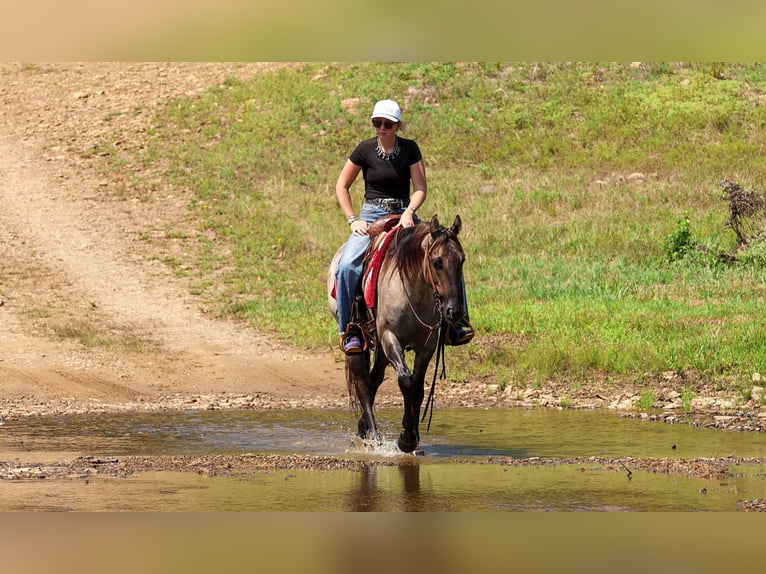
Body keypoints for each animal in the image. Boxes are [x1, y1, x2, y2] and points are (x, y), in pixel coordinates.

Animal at [327, 214, 467, 453]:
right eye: (436, 261)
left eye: (462, 260)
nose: (454, 312)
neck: (413, 290)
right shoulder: (389, 337)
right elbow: (406, 382)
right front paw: (406, 439)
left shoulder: (426, 346)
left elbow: (418, 388)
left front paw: (413, 438)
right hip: (356, 340)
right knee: (363, 384)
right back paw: (373, 437)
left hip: (381, 351)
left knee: (374, 379)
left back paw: (363, 430)